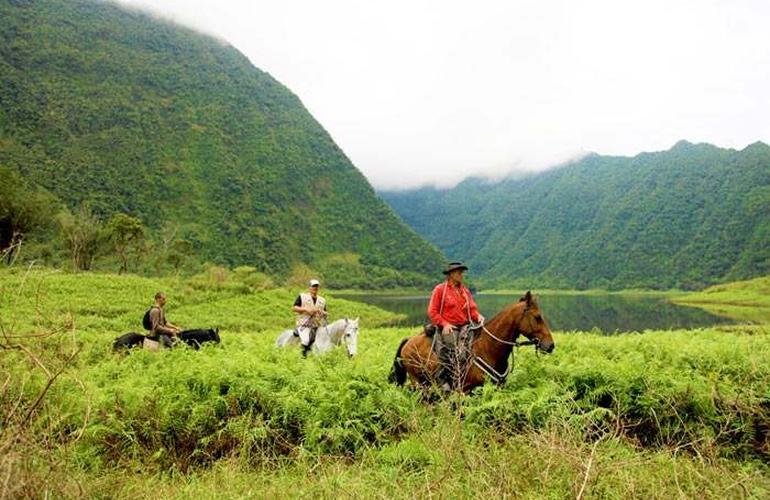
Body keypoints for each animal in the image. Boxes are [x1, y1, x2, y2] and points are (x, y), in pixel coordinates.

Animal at [390, 292, 552, 394]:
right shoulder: (468, 391)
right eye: (537, 317)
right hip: (417, 382)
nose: (550, 345)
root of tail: (408, 341)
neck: (488, 348)